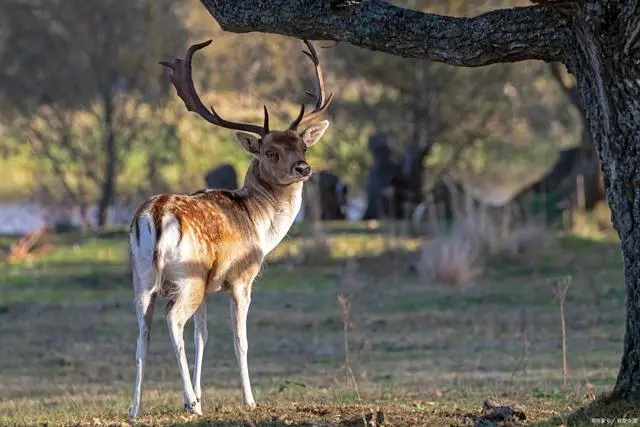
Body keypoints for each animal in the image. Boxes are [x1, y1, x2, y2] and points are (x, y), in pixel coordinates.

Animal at [127, 37, 332, 418]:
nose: (303, 168)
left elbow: (202, 337)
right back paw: (193, 406)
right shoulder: (241, 277)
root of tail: (157, 214)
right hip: (187, 278)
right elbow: (240, 339)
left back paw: (135, 407)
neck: (259, 224)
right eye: (269, 153)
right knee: (173, 321)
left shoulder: (209, 287)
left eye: (303, 146)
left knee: (142, 332)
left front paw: (196, 394)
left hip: (143, 278)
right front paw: (247, 399)